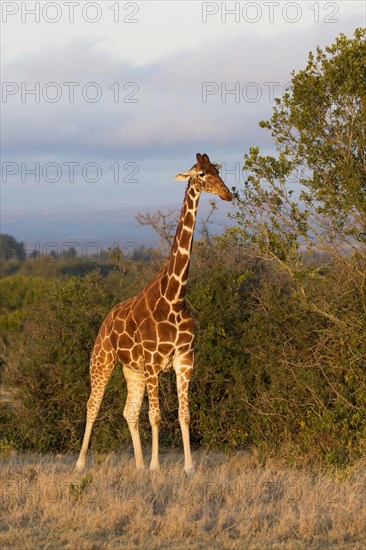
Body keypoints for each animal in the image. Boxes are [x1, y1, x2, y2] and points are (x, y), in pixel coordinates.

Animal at [76, 153, 233, 476]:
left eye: (217, 170)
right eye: (201, 174)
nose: (227, 194)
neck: (174, 298)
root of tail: (106, 320)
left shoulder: (184, 359)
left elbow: (184, 414)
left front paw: (188, 468)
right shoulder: (153, 363)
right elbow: (156, 415)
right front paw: (156, 467)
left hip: (131, 370)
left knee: (128, 411)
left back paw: (137, 464)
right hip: (102, 360)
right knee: (92, 405)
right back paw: (81, 464)